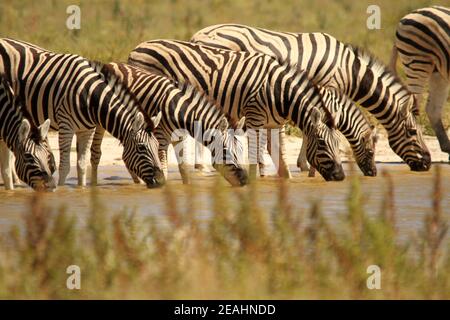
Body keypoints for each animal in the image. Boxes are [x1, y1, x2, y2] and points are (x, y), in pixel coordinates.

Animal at [0, 37, 164, 189]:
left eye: (157, 145)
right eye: (142, 148)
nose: (161, 181)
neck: (89, 97)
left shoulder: (87, 130)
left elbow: (81, 165)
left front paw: (82, 189)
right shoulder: (66, 126)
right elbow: (65, 166)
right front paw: (62, 190)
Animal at [89, 62, 248, 186]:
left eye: (242, 149)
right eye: (226, 152)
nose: (245, 181)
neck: (179, 110)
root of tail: (111, 63)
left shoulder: (179, 137)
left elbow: (184, 168)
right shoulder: (160, 137)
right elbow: (163, 168)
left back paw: (137, 182)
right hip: (103, 120)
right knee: (96, 150)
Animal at [128, 39, 346, 180]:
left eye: (339, 144)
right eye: (322, 143)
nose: (341, 176)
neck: (281, 92)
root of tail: (137, 48)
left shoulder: (275, 124)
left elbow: (280, 156)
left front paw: (286, 182)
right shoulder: (254, 116)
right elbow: (254, 152)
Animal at [191, 24, 432, 172]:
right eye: (413, 132)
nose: (428, 164)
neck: (348, 71)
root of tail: (198, 35)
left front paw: (305, 163)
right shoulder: (328, 89)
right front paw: (308, 164)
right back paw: (201, 166)